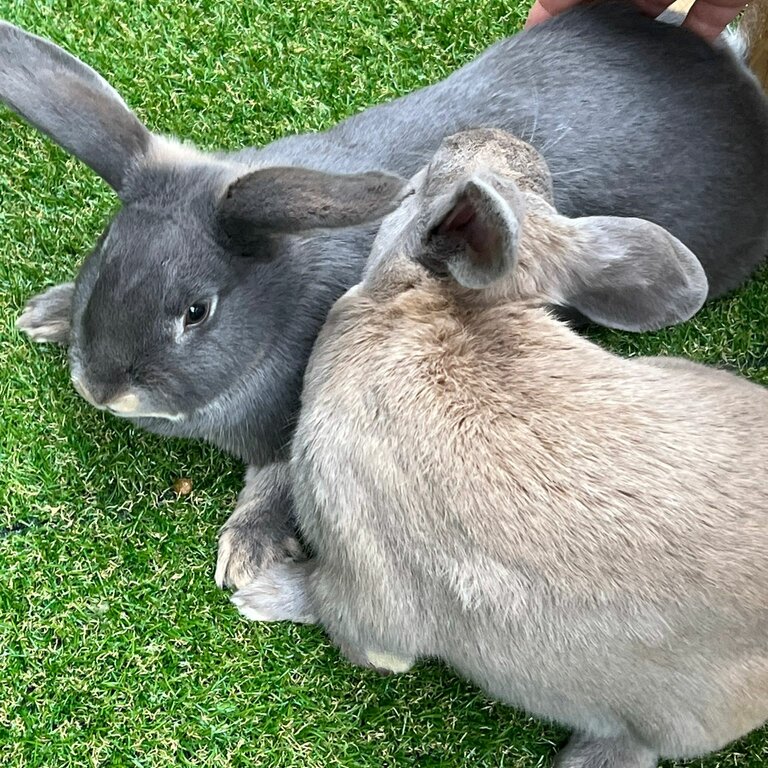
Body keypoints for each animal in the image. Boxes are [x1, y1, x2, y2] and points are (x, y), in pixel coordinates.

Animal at [1, 3, 768, 588]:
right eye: (103, 254)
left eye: (197, 311)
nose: (102, 388)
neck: (283, 293)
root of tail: (735, 89)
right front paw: (46, 312)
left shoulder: (296, 418)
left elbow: (278, 484)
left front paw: (247, 553)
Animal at [231, 127, 768, 768]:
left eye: (415, 188)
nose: (485, 134)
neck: (442, 309)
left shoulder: (360, 566)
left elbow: (342, 612)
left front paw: (259, 594)